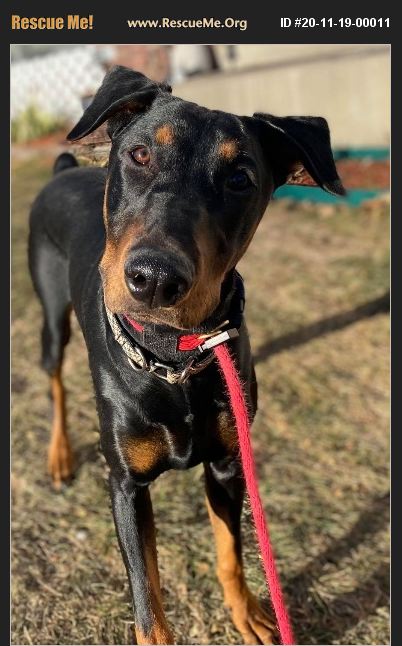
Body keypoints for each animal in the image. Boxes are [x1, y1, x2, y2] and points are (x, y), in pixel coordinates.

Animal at [28, 67, 344, 646]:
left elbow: (230, 550)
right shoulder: (125, 486)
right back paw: (59, 455)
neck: (172, 359)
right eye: (139, 154)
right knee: (55, 380)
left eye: (240, 178)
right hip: (51, 315)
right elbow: (147, 605)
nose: (155, 278)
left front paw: (248, 614)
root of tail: (63, 171)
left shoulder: (227, 463)